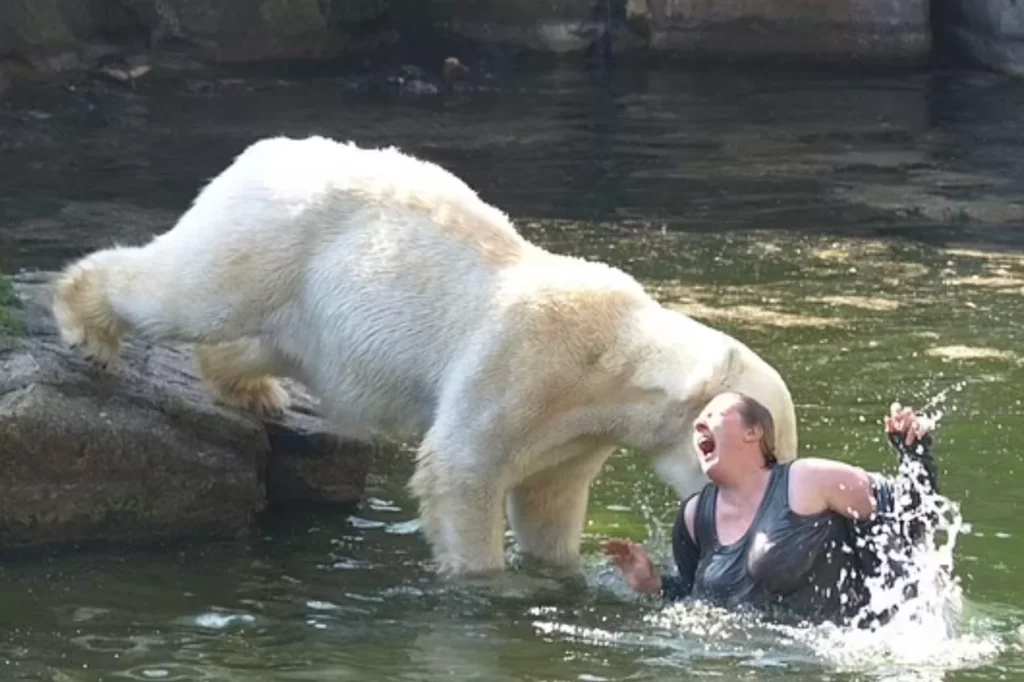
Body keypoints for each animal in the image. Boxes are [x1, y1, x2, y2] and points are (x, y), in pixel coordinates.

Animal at [49, 135, 798, 577]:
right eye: (770, 449)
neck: (613, 360)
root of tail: (260, 151)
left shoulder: (576, 435)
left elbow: (549, 499)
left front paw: (559, 574)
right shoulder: (525, 364)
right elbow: (463, 467)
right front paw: (484, 582)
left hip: (309, 303)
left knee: (265, 340)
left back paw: (252, 389)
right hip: (273, 236)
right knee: (189, 290)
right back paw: (88, 326)